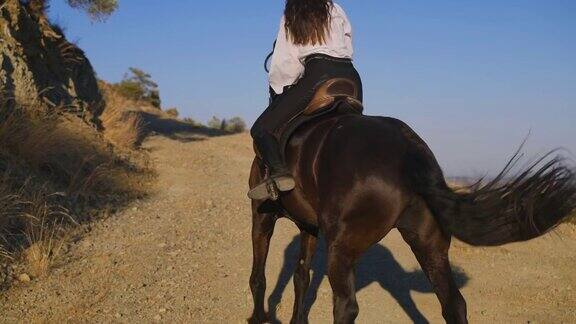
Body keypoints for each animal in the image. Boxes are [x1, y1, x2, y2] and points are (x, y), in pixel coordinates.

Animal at [249, 109, 576, 324]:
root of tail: (408, 149)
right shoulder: (308, 226)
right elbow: (300, 277)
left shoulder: (262, 219)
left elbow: (259, 278)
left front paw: (257, 318)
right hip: (428, 244)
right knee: (454, 303)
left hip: (342, 248)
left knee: (346, 306)